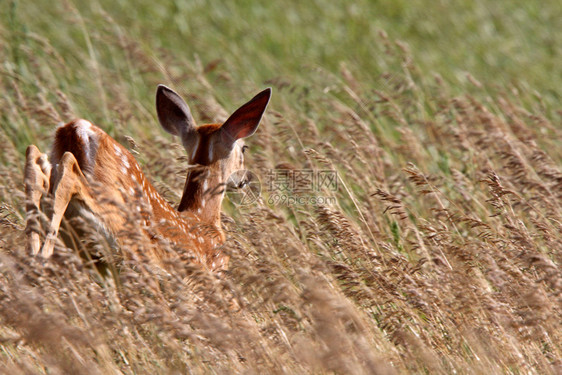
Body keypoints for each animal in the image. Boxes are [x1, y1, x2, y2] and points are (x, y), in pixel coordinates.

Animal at [25, 86, 270, 272]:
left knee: (35, 161)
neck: (203, 220)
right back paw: (42, 256)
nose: (246, 178)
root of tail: (76, 129)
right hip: (116, 217)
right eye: (244, 148)